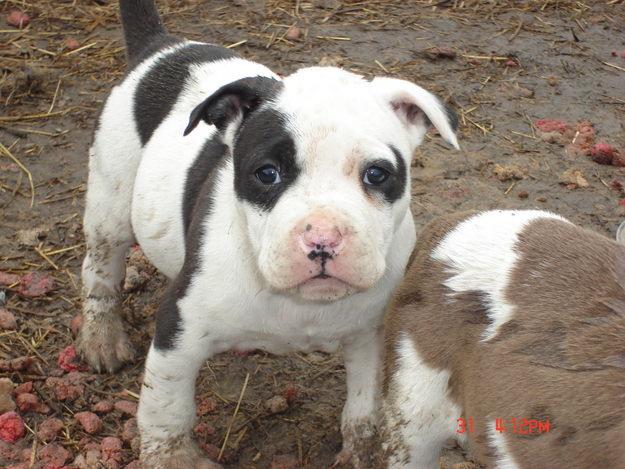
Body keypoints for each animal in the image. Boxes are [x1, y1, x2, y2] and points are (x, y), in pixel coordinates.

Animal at [78, 0, 458, 464]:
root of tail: (163, 46)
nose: (322, 238)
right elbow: (167, 410)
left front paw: (360, 454)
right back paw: (102, 336)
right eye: (266, 174)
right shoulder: (177, 330)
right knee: (100, 268)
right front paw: (173, 459)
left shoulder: (370, 338)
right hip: (111, 203)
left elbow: (364, 411)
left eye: (377, 174)